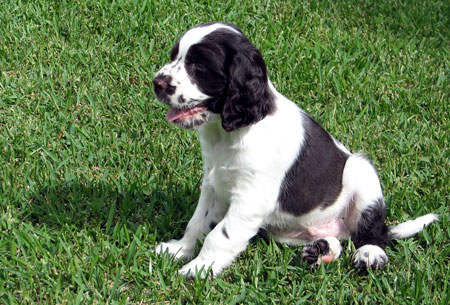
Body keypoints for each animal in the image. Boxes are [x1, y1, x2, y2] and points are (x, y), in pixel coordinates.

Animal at [153, 22, 438, 278]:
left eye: (198, 66)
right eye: (174, 56)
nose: (157, 83)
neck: (229, 132)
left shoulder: (250, 198)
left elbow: (220, 234)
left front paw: (199, 269)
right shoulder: (213, 181)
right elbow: (199, 221)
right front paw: (179, 249)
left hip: (362, 171)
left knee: (372, 232)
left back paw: (369, 254)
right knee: (337, 239)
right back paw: (321, 251)